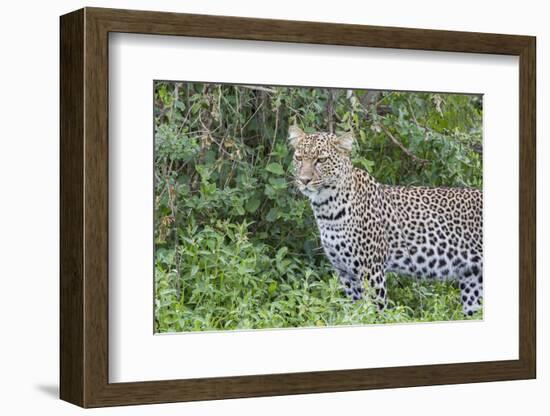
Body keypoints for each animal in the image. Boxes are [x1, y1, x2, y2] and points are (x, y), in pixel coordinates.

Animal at [288, 126, 484, 316]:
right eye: (299, 158)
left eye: (321, 160)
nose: (304, 180)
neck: (327, 209)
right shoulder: (346, 274)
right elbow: (355, 313)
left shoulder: (371, 270)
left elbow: (374, 313)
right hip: (473, 282)